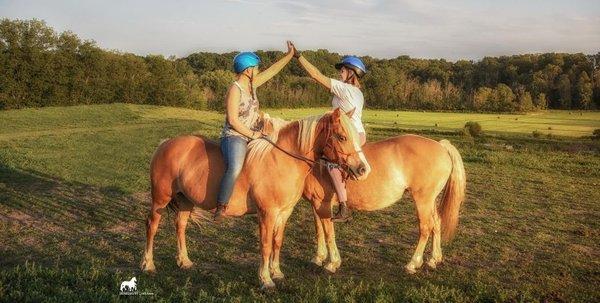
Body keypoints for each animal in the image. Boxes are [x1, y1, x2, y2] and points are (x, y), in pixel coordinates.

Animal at [141, 109, 370, 290]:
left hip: (185, 201)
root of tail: (166, 143)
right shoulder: (267, 213)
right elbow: (266, 244)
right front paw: (266, 279)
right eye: (341, 137)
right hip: (160, 199)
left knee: (180, 226)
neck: (282, 160)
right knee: (152, 226)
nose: (362, 169)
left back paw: (184, 261)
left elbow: (277, 242)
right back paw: (148, 264)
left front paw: (277, 272)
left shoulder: (284, 213)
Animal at [302, 135, 466, 276]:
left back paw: (413, 263)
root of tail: (441, 146)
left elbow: (329, 233)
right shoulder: (316, 204)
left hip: (423, 200)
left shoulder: (323, 204)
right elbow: (319, 230)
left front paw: (332, 263)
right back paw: (434, 259)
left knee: (426, 227)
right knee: (436, 223)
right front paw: (318, 257)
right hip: (430, 200)